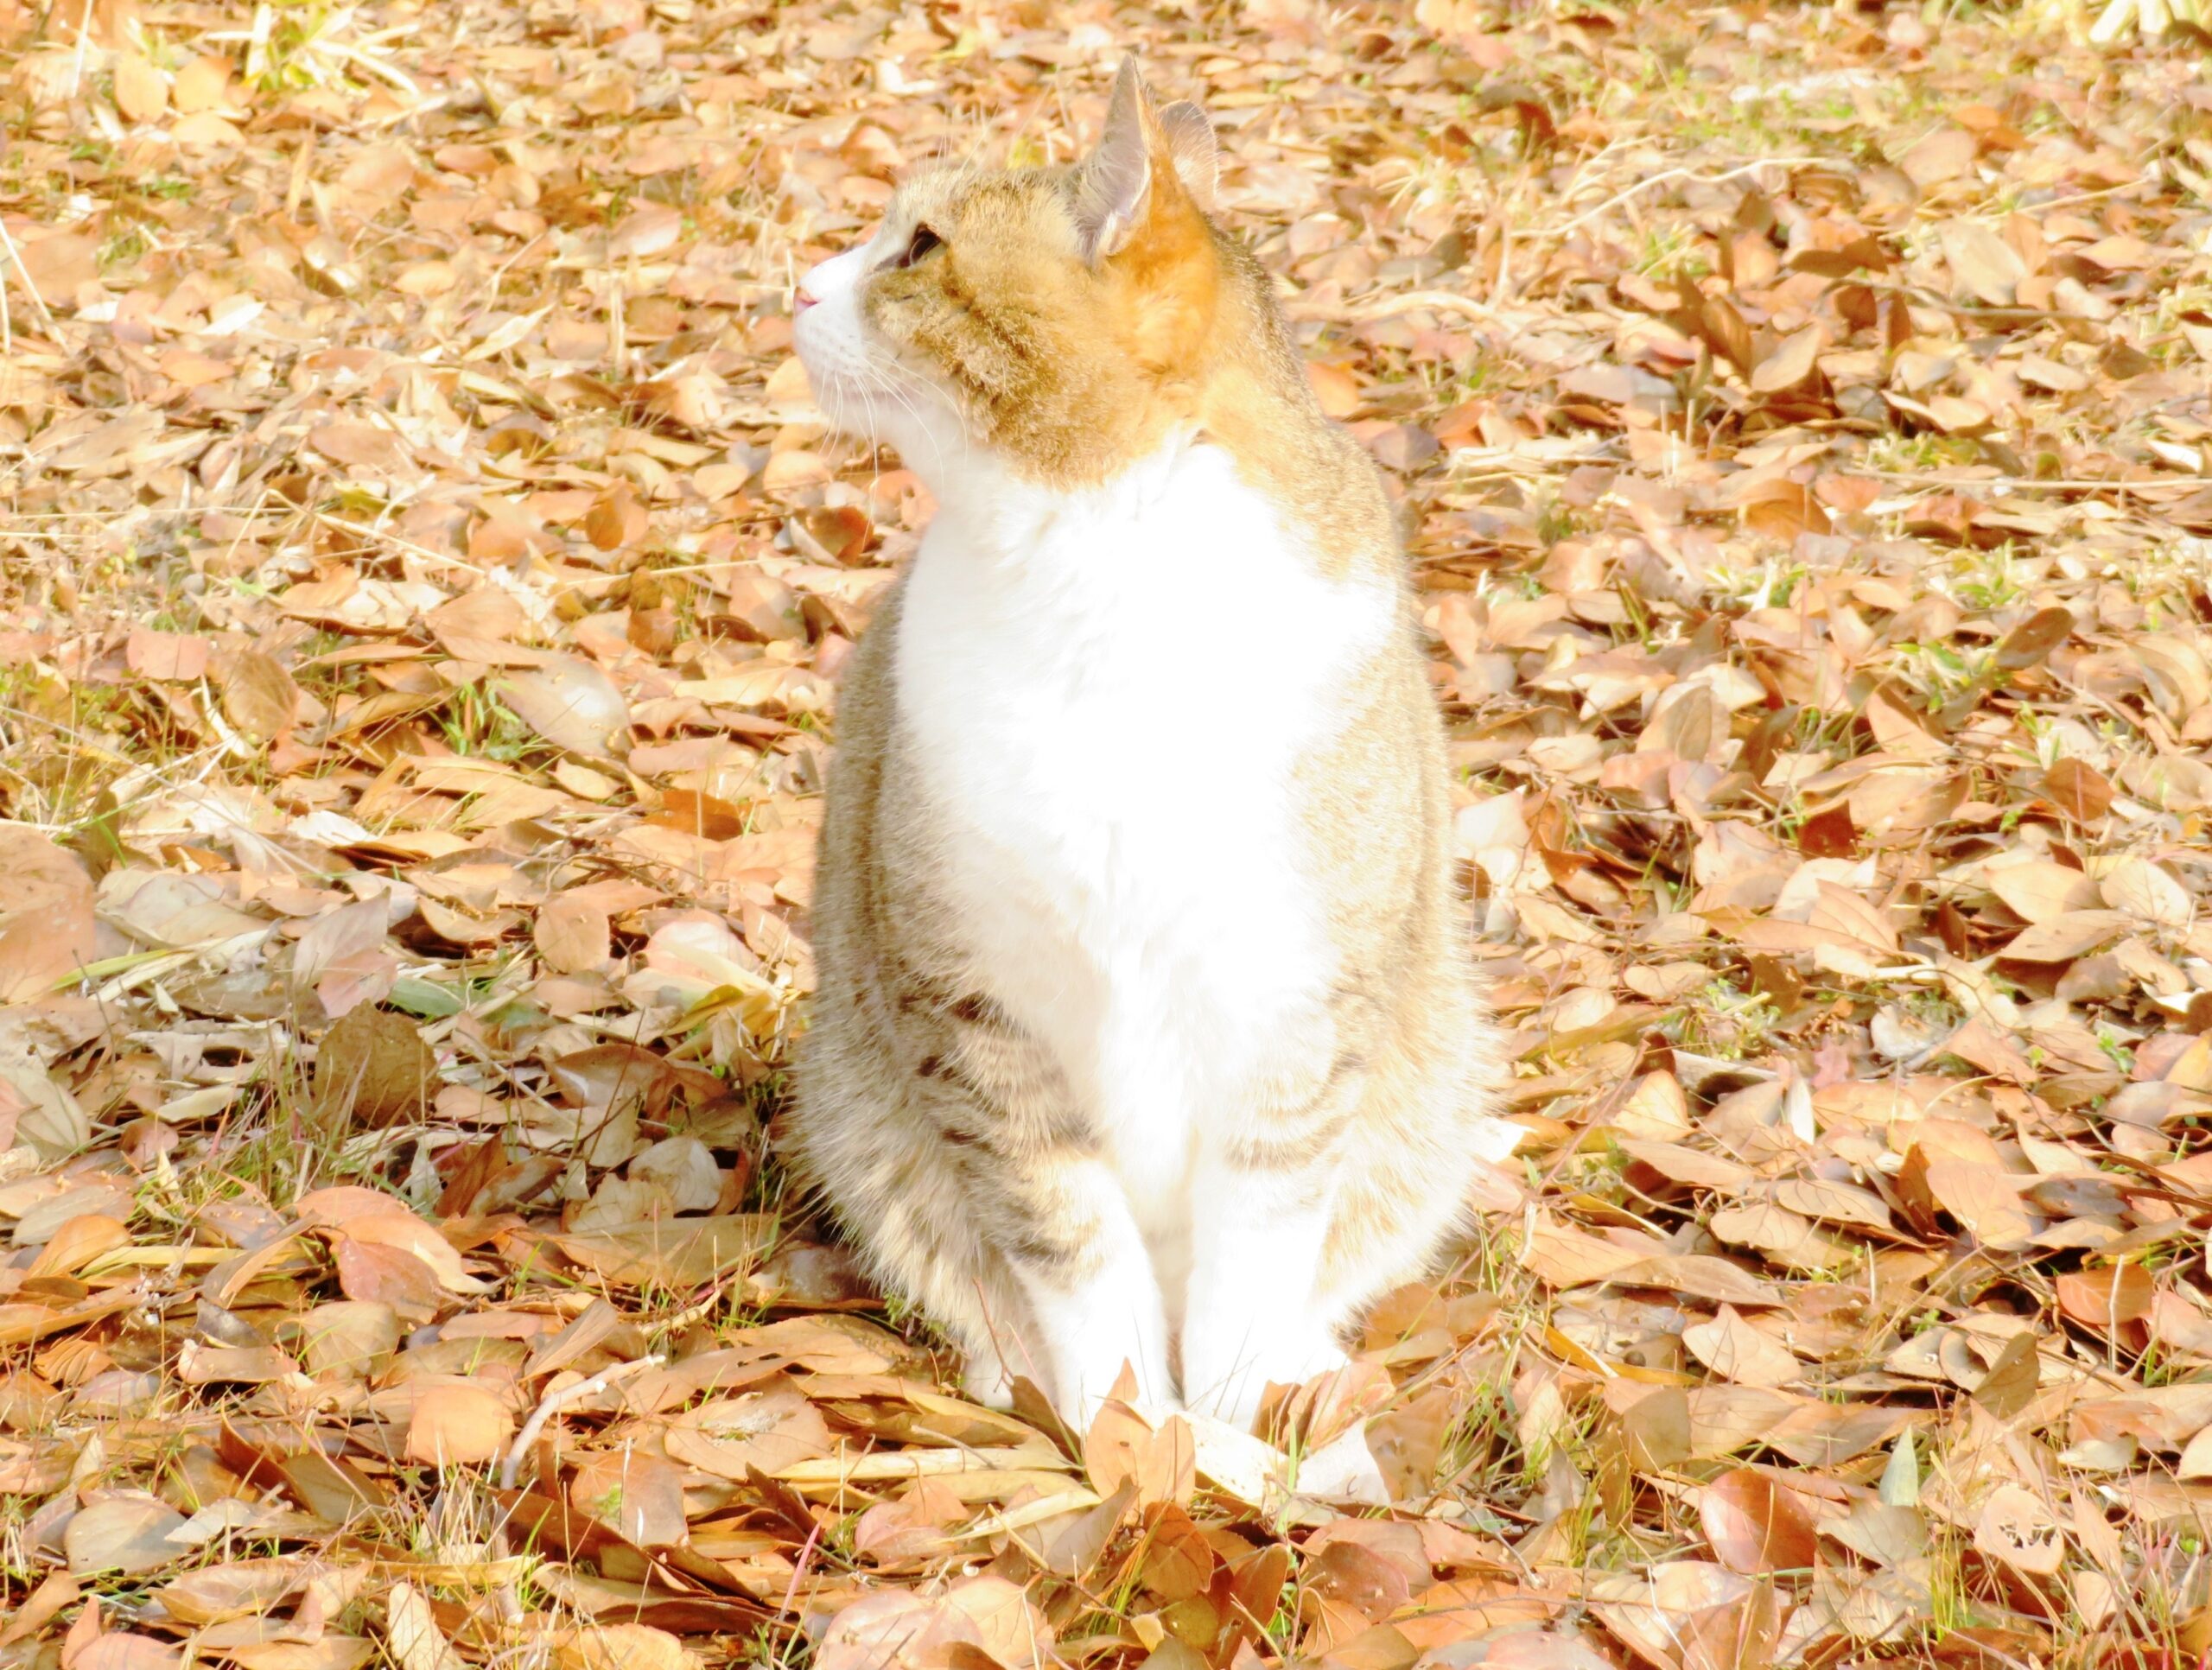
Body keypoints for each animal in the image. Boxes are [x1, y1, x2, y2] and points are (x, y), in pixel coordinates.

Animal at [779, 55, 1503, 1433]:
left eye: (920, 247)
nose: (795, 283)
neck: (1102, 570)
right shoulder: (973, 1002)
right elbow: (1068, 1240)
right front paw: (1127, 1428)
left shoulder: (1299, 1012)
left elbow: (1256, 1250)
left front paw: (1226, 1432)